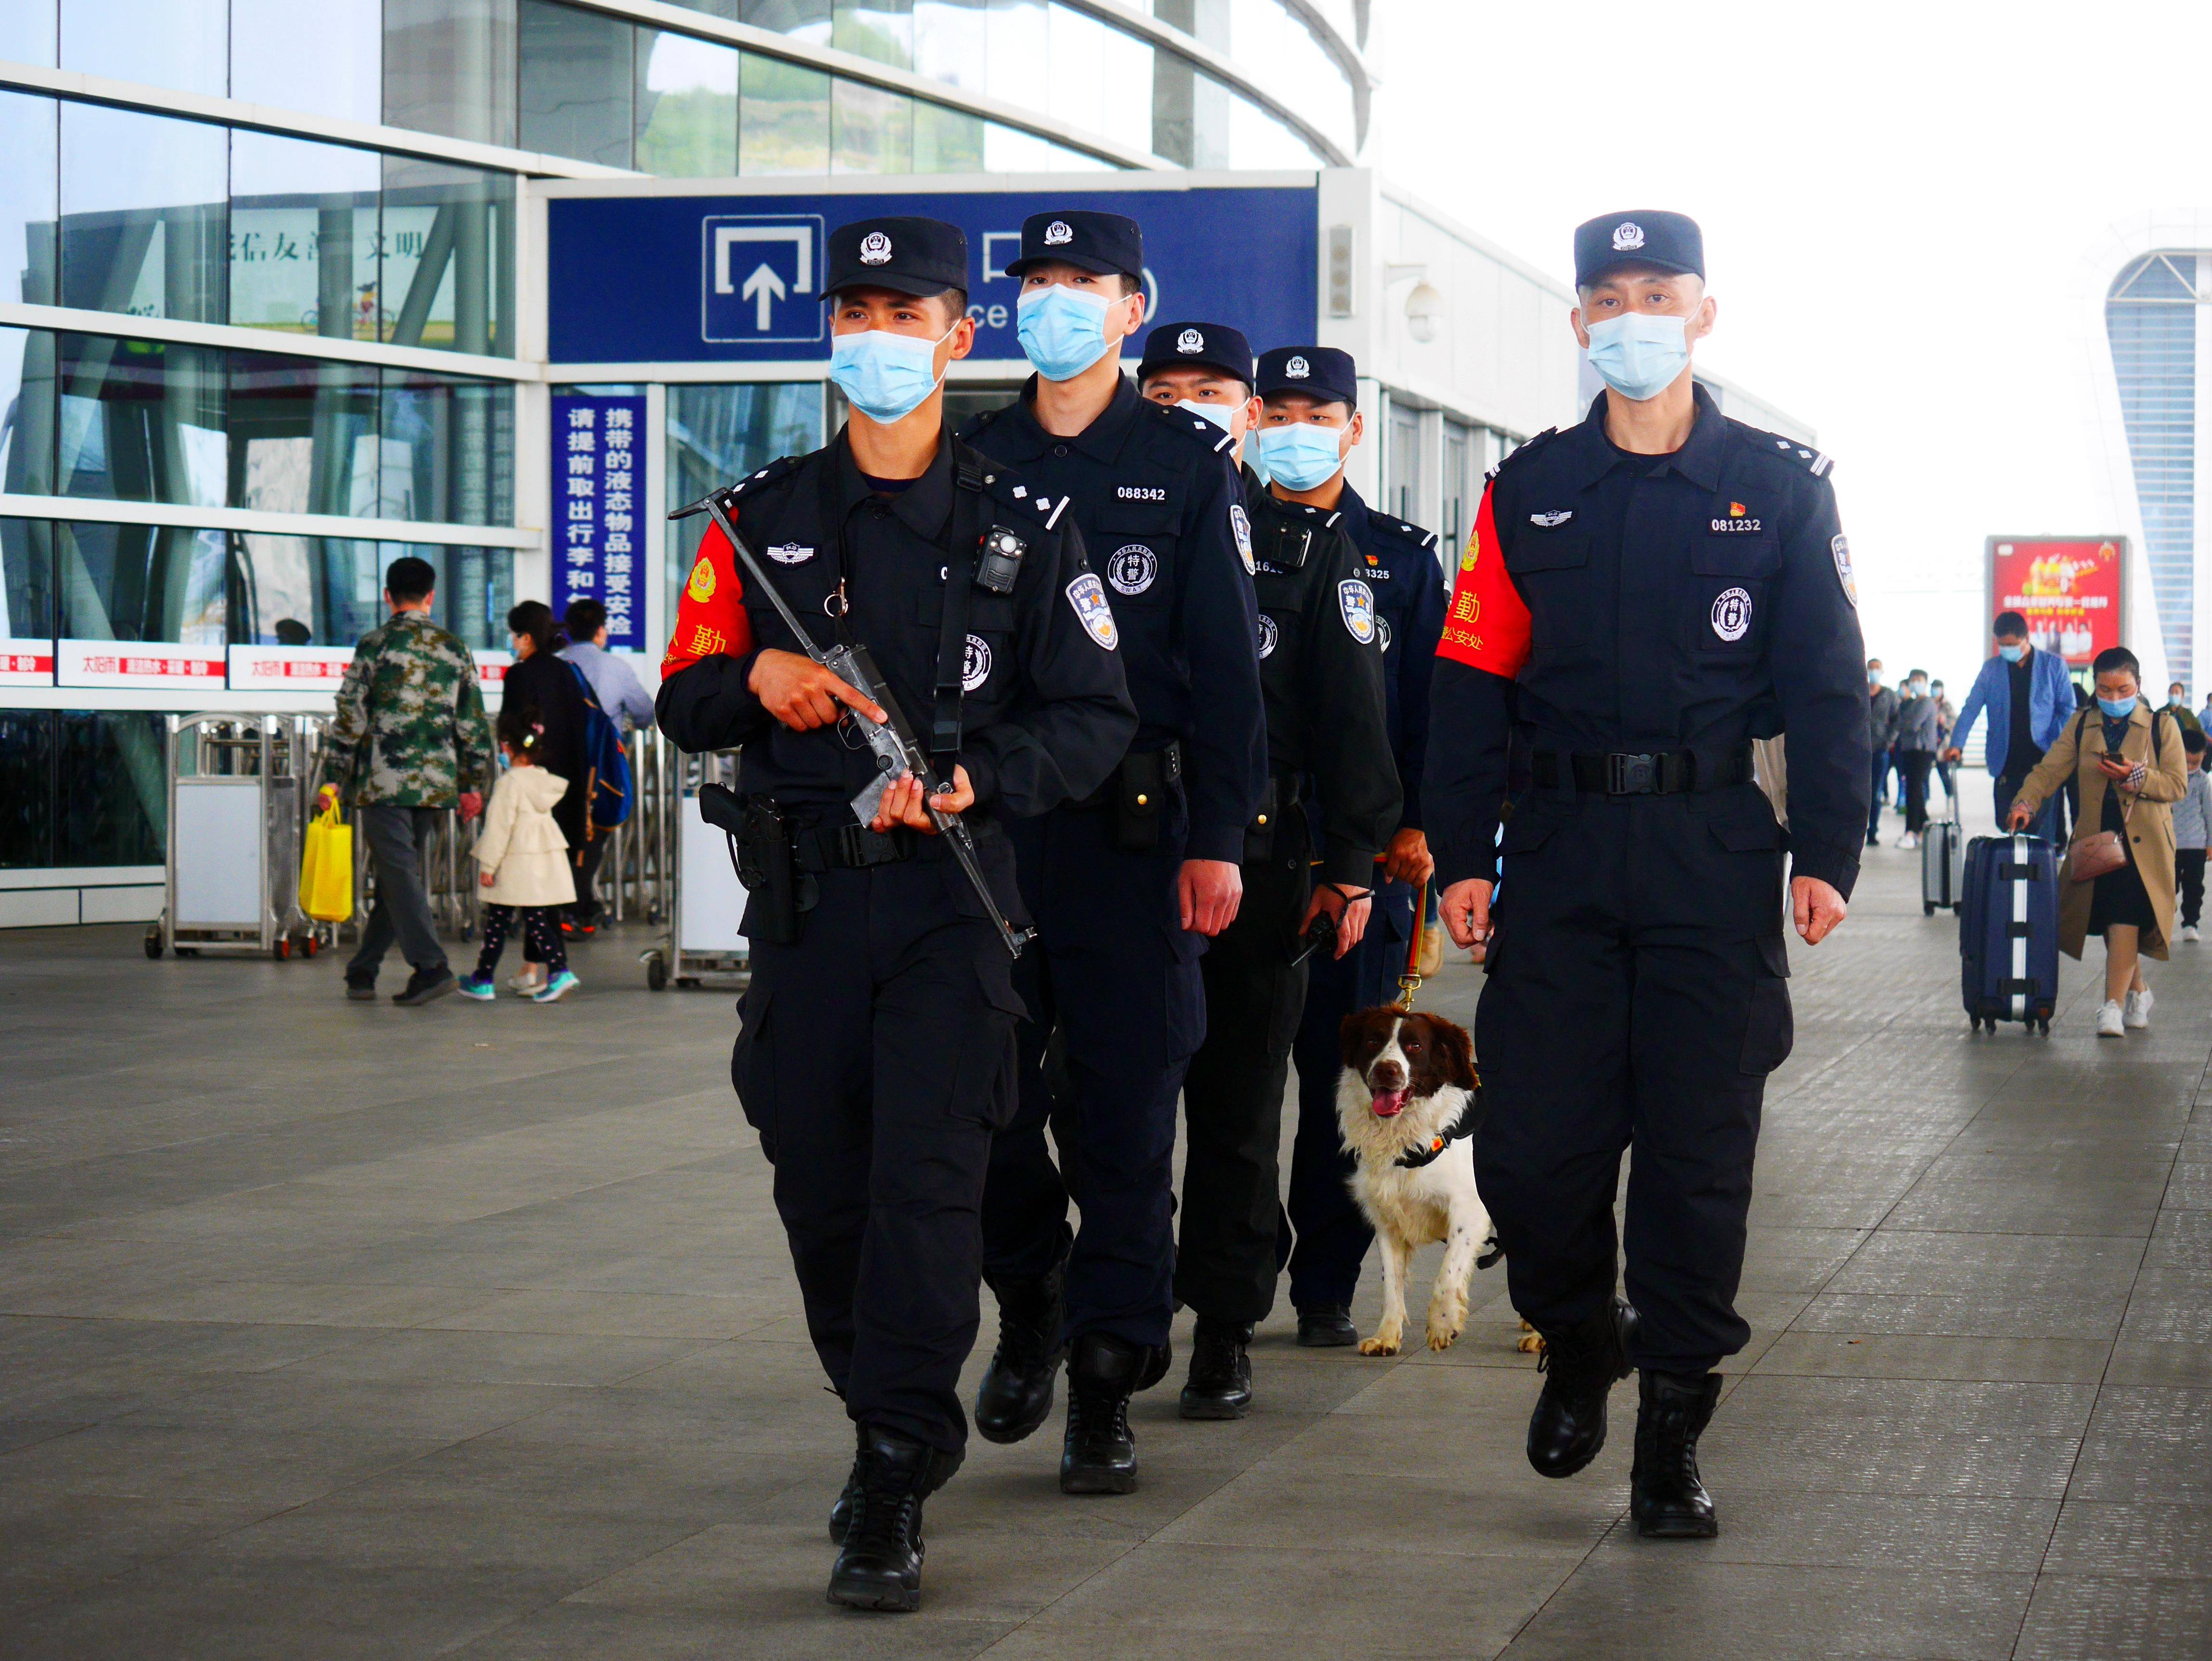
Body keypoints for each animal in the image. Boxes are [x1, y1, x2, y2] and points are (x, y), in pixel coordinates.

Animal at [1336, 1008, 1495, 1353]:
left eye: (1415, 1046)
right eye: (1373, 1041)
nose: (1386, 1071)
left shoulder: (1469, 1212)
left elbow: (1448, 1273)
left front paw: (1443, 1323)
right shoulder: (1387, 1217)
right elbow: (1391, 1284)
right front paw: (1386, 1336)